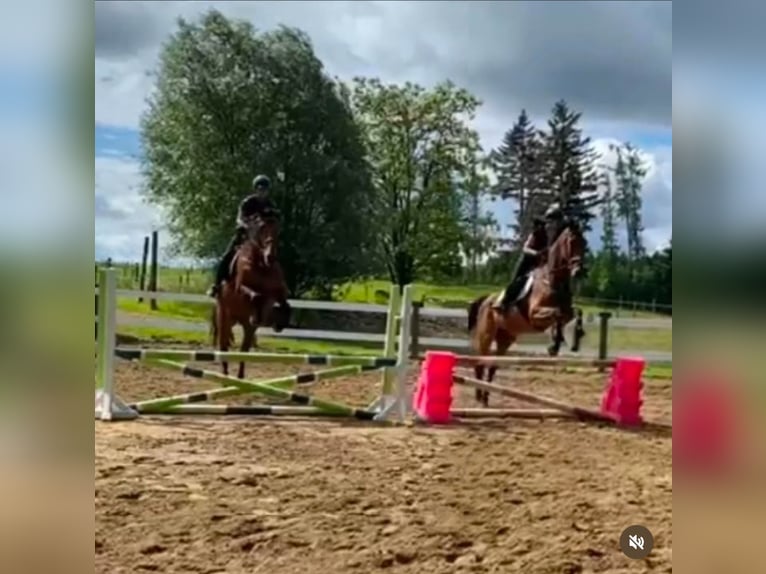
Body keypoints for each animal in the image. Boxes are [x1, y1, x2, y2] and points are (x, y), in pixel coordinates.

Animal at [210, 214, 292, 380]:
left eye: (277, 231)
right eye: (262, 229)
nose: (270, 256)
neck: (261, 264)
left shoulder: (279, 292)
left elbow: (284, 303)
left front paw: (280, 321)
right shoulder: (241, 288)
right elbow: (255, 295)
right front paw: (259, 315)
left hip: (243, 325)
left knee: (244, 348)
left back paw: (240, 376)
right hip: (224, 317)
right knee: (223, 345)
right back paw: (225, 373)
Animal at [468, 218, 588, 408]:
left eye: (585, 243)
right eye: (571, 242)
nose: (580, 271)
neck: (552, 280)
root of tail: (486, 300)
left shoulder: (566, 310)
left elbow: (573, 312)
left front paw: (573, 336)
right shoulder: (535, 315)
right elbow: (557, 315)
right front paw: (554, 344)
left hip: (505, 338)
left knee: (492, 365)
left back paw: (485, 397)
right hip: (486, 335)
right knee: (480, 361)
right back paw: (479, 396)